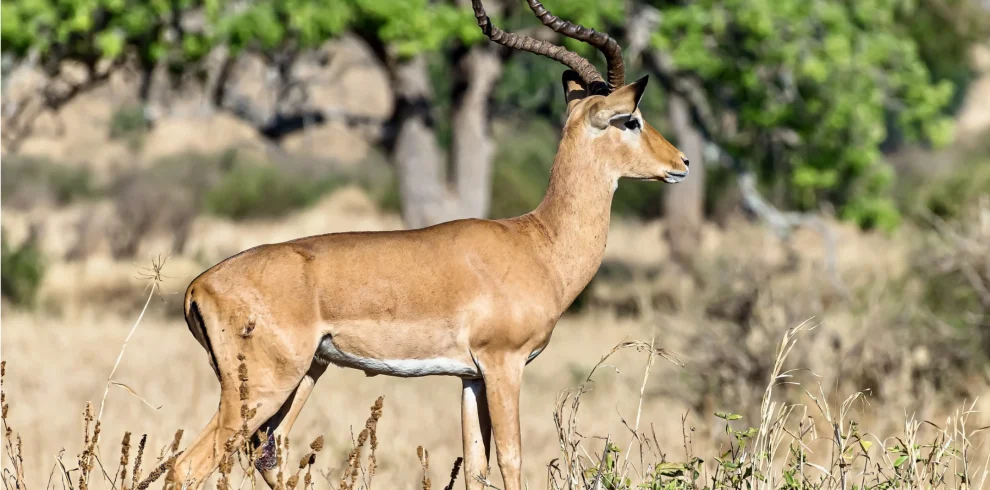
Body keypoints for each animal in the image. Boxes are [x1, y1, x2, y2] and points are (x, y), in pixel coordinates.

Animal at [166, 1, 689, 489]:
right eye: (631, 120)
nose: (681, 162)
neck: (538, 243)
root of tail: (199, 285)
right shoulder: (504, 365)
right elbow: (511, 460)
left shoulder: (470, 377)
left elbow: (476, 466)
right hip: (262, 388)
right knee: (187, 465)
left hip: (304, 377)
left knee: (266, 454)